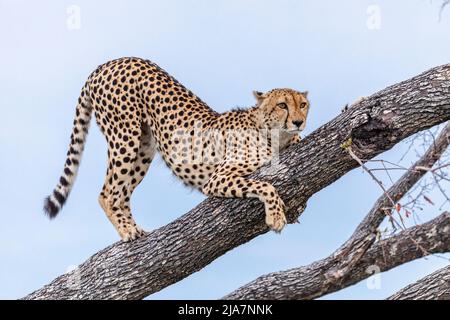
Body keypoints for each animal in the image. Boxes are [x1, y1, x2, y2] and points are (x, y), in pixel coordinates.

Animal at [44, 58, 310, 242]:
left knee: (122, 193)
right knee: (107, 193)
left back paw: (136, 229)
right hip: (125, 137)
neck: (274, 136)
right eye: (282, 105)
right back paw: (128, 231)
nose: (299, 122)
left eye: (303, 104)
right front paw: (276, 217)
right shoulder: (217, 179)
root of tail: (107, 63)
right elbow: (265, 185)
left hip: (143, 148)